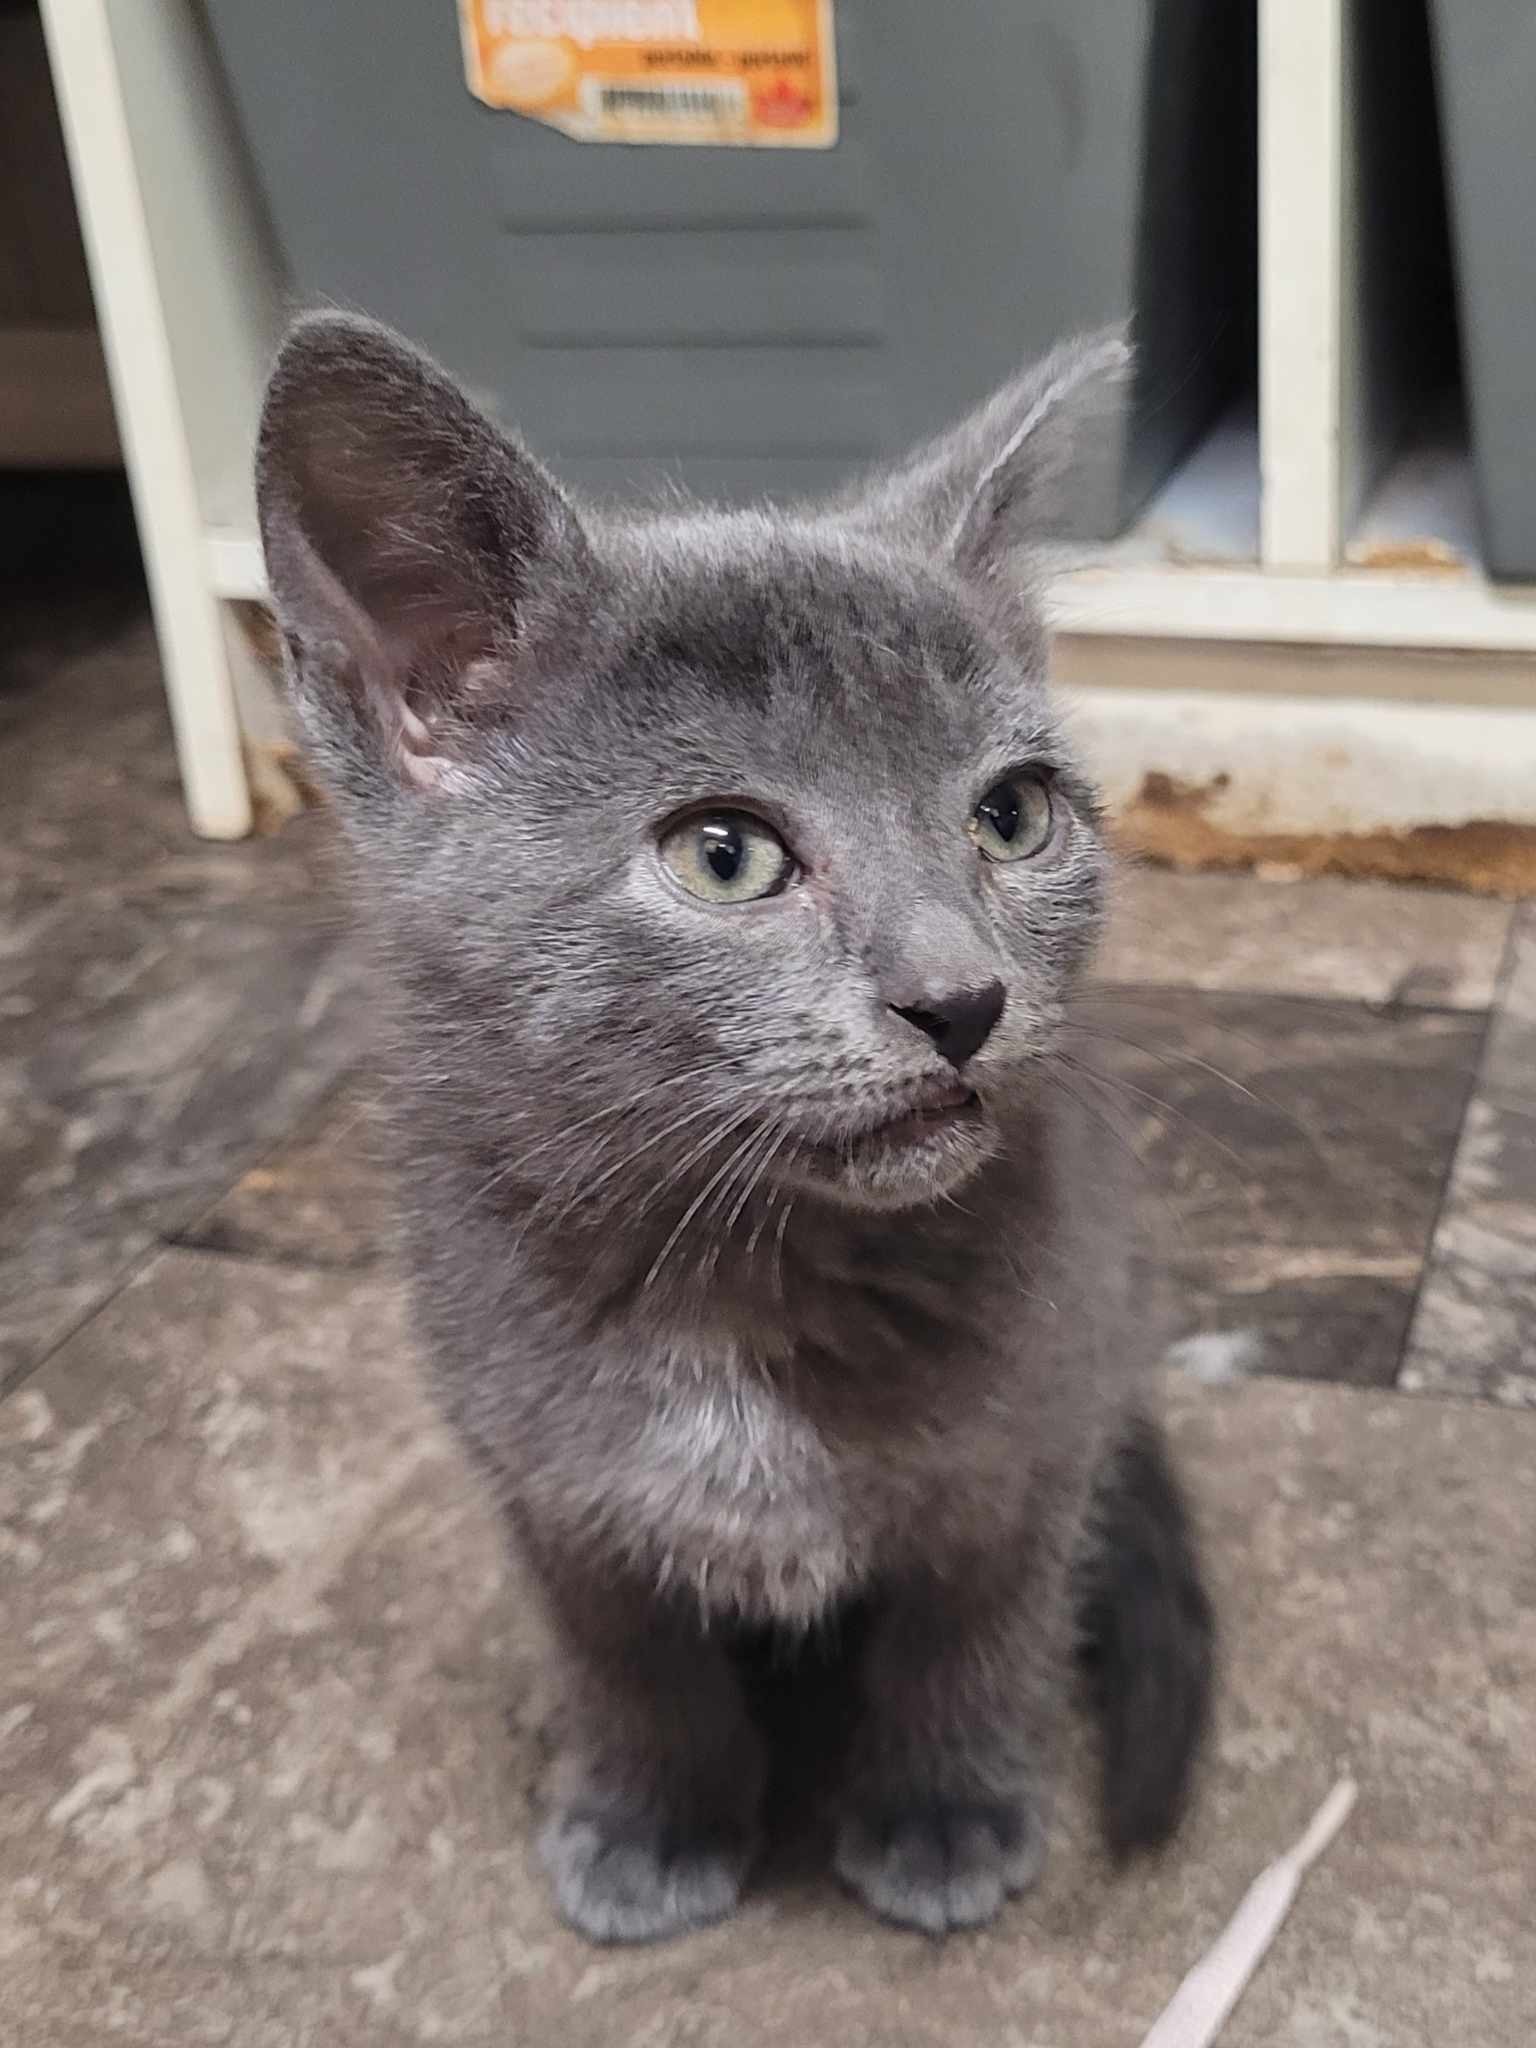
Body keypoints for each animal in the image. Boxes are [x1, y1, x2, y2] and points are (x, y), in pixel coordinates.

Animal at [256, 311, 1212, 1941]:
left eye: (1012, 816)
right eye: (725, 855)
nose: (963, 998)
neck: (739, 1279)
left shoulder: (1033, 1441)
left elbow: (973, 1635)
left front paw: (944, 1811)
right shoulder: (549, 1491)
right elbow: (632, 1668)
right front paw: (650, 1821)